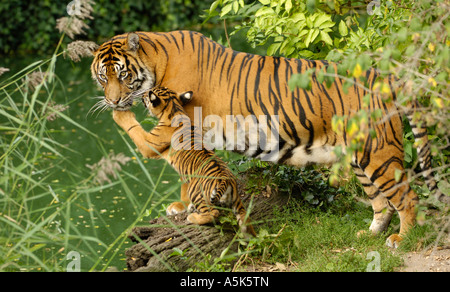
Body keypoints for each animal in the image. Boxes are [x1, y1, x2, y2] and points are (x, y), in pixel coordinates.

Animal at [90, 30, 442, 248]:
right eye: (102, 77)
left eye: (122, 75)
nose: (112, 100)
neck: (156, 62)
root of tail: (385, 75)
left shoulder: (173, 133)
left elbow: (179, 165)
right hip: (359, 156)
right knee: (380, 201)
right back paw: (368, 235)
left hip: (378, 153)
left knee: (407, 197)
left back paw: (400, 240)